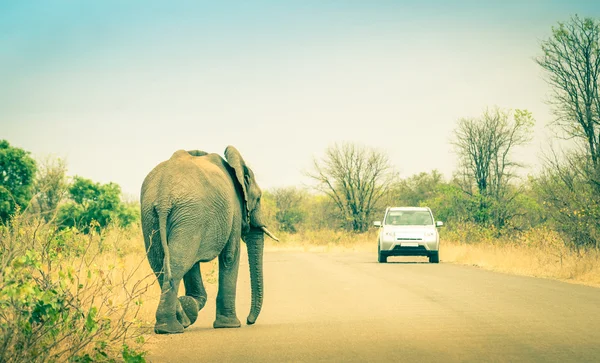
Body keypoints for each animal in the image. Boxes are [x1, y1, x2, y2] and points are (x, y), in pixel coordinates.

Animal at [141, 146, 278, 334]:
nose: (249, 321)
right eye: (258, 198)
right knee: (177, 263)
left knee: (160, 264)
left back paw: (177, 322)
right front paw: (229, 325)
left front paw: (190, 306)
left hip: (154, 215)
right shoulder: (233, 209)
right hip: (189, 213)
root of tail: (164, 197)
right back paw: (171, 328)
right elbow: (230, 256)